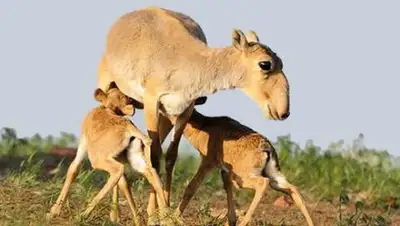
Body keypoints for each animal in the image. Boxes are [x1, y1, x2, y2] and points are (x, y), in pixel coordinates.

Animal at [47, 83, 167, 226]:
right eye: (124, 96)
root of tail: (128, 128)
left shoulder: (83, 143)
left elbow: (73, 169)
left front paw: (53, 212)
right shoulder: (118, 157)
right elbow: (124, 184)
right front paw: (136, 220)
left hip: (97, 159)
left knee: (117, 170)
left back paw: (82, 216)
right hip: (136, 158)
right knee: (152, 174)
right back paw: (167, 217)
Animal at [97, 6, 290, 219]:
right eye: (265, 64)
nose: (283, 111)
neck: (185, 59)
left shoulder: (183, 110)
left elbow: (170, 156)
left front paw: (164, 212)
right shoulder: (151, 103)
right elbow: (154, 158)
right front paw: (160, 214)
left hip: (165, 116)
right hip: (107, 89)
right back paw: (115, 214)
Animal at [173, 108, 314, 225]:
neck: (203, 125)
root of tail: (267, 147)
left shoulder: (207, 163)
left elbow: (191, 187)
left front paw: (173, 217)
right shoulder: (225, 172)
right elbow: (227, 190)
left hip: (242, 179)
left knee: (263, 183)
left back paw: (244, 222)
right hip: (275, 178)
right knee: (294, 189)